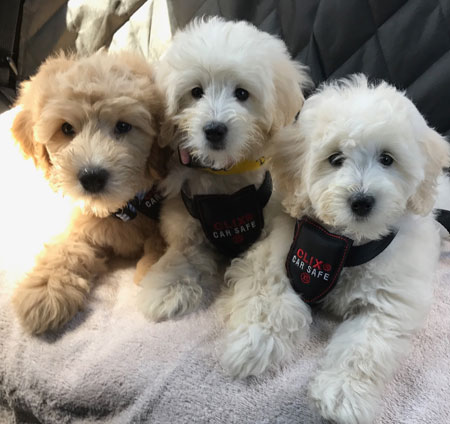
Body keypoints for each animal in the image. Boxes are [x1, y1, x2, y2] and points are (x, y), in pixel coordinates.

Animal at [12, 50, 171, 334]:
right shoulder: (83, 223)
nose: (92, 177)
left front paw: (153, 268)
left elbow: (161, 237)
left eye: (123, 126)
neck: (122, 208)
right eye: (66, 129)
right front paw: (45, 290)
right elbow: (67, 248)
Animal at [137, 17, 310, 322]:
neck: (225, 181)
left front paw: (264, 312)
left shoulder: (274, 222)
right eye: (196, 92)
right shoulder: (184, 222)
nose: (214, 130)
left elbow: (262, 263)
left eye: (242, 93)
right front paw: (166, 287)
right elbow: (181, 253)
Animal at [222, 74, 450, 422]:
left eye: (387, 159)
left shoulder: (392, 297)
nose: (362, 201)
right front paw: (255, 343)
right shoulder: (279, 245)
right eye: (335, 159)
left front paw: (343, 394)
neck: (347, 244)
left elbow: (364, 344)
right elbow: (268, 291)